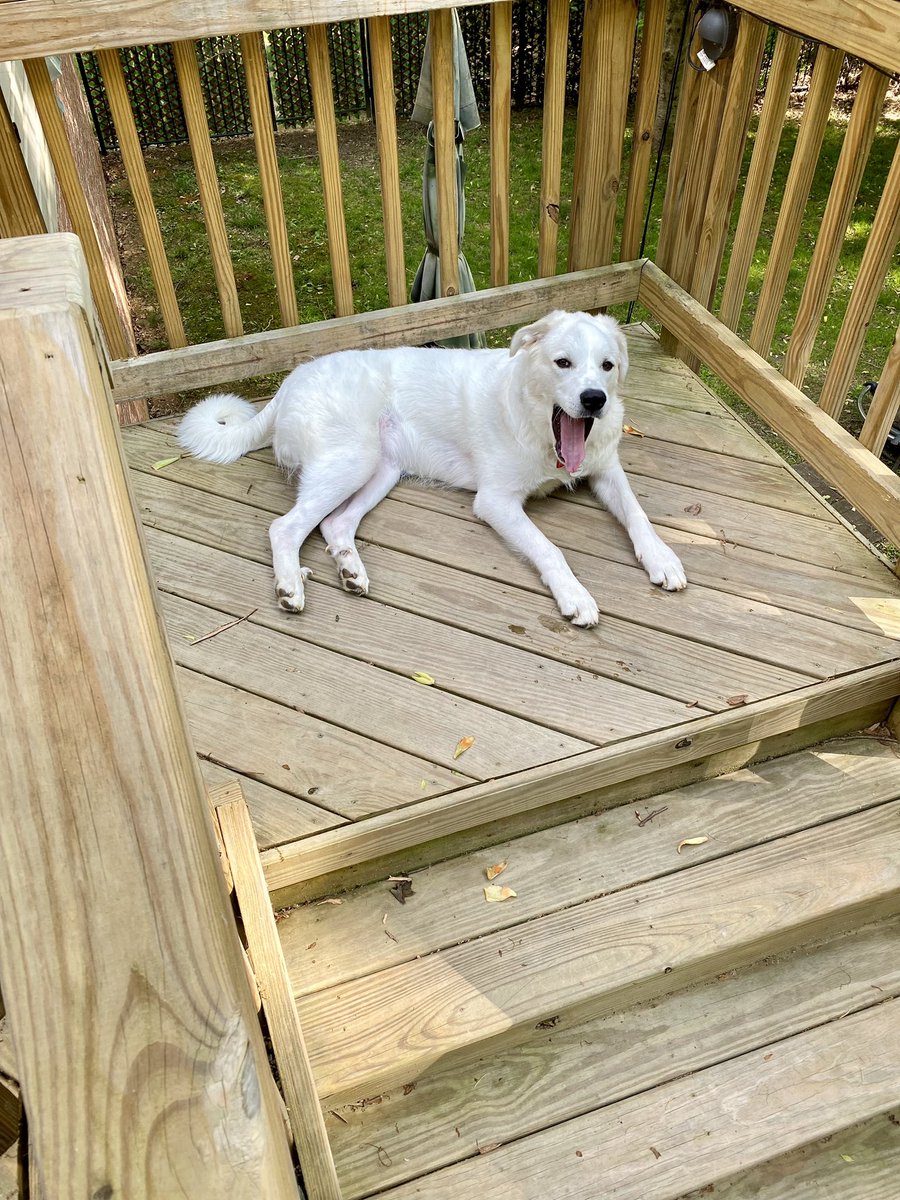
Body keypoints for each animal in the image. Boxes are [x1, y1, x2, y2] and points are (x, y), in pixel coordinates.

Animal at [181, 309, 691, 628]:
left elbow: (637, 513)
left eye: (607, 365)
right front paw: (575, 595)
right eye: (562, 362)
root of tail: (288, 383)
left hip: (381, 470)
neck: (539, 428)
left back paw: (350, 571)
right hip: (352, 461)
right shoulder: (497, 502)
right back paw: (290, 587)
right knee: (285, 527)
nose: (594, 400)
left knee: (334, 525)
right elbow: (550, 550)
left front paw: (662, 558)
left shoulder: (606, 469)